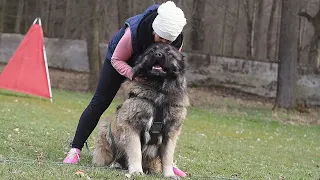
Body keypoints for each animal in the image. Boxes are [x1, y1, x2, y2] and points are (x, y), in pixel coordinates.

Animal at [91, 42, 189, 179]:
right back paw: (114, 164)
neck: (158, 90)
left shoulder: (170, 132)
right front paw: (136, 171)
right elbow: (135, 151)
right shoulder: (131, 126)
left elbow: (168, 157)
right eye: (152, 51)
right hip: (105, 130)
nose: (158, 54)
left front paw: (169, 174)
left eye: (169, 53)